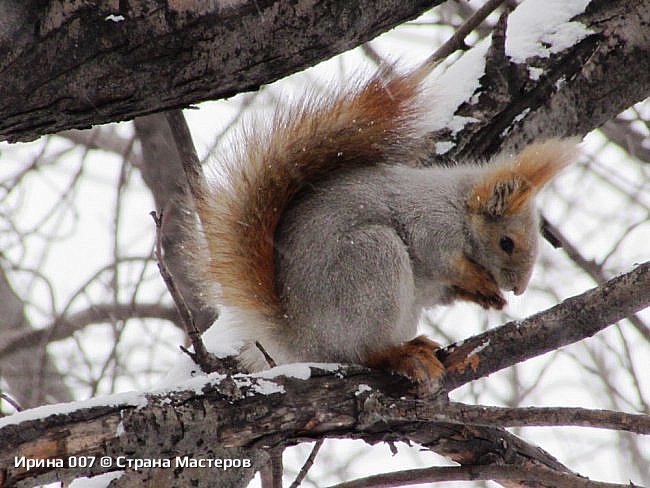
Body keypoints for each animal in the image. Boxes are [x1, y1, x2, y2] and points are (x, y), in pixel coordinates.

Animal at [187, 63, 576, 388]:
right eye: (507, 242)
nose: (519, 288)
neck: (459, 205)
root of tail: (303, 339)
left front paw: (487, 297)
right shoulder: (430, 222)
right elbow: (440, 258)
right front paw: (479, 280)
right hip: (373, 261)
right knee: (365, 352)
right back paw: (400, 354)